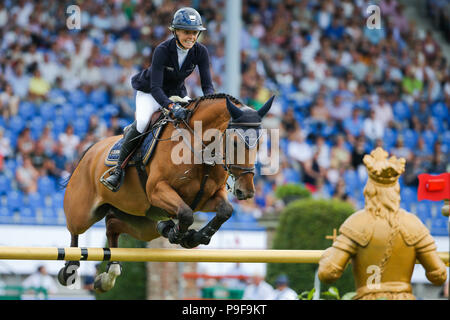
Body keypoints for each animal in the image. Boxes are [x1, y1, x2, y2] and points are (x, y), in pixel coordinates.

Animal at [56, 93, 274, 292]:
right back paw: (70, 269)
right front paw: (183, 236)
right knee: (75, 231)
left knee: (112, 225)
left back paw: (110, 274)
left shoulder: (206, 198)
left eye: (260, 143)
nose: (246, 191)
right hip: (83, 212)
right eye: (235, 142)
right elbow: (186, 214)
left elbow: (225, 211)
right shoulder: (157, 190)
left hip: (142, 224)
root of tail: (90, 151)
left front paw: (194, 237)